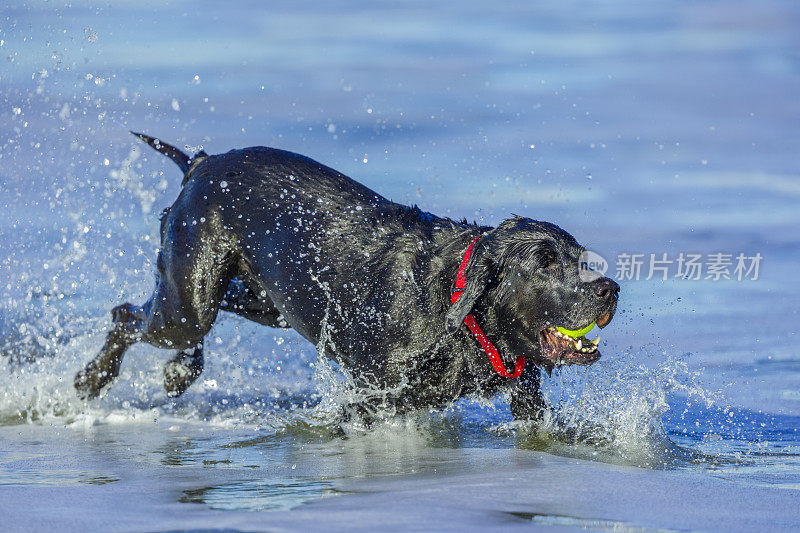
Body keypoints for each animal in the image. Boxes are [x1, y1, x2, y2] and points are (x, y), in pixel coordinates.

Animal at [75, 134, 620, 424]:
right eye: (545, 261)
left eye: (581, 257)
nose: (609, 288)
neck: (456, 310)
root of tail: (201, 165)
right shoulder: (376, 390)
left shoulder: (525, 390)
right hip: (189, 298)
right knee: (127, 315)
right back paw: (90, 380)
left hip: (269, 301)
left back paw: (178, 371)